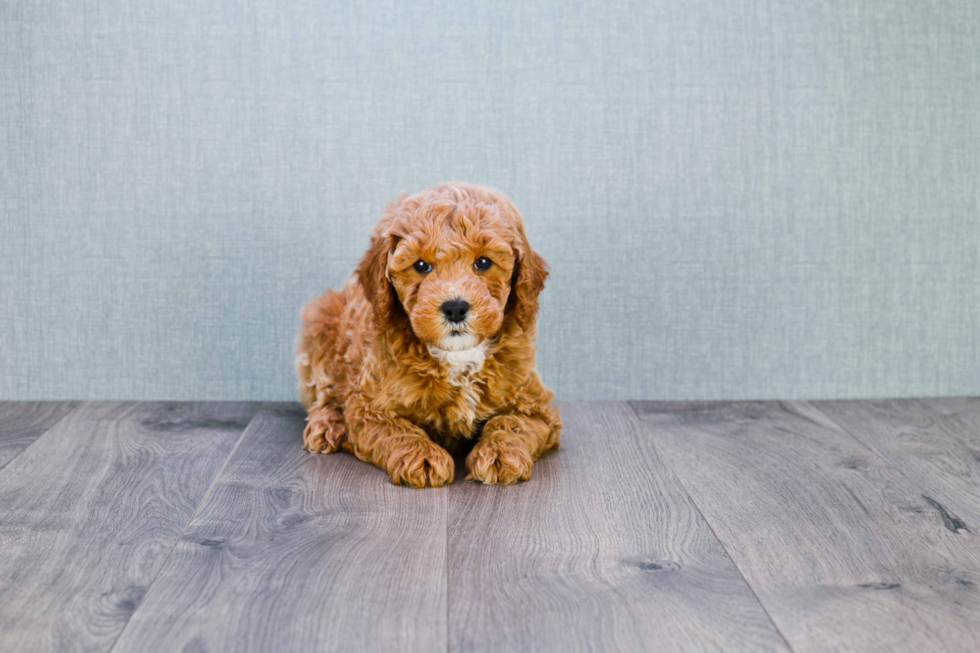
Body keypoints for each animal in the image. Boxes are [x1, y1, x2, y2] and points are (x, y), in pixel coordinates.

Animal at [294, 181, 560, 486]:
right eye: (421, 265)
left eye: (483, 262)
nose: (455, 307)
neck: (458, 355)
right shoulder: (368, 408)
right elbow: (397, 429)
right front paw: (422, 457)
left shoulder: (535, 405)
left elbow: (513, 422)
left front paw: (500, 454)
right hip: (320, 324)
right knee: (322, 394)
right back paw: (328, 425)